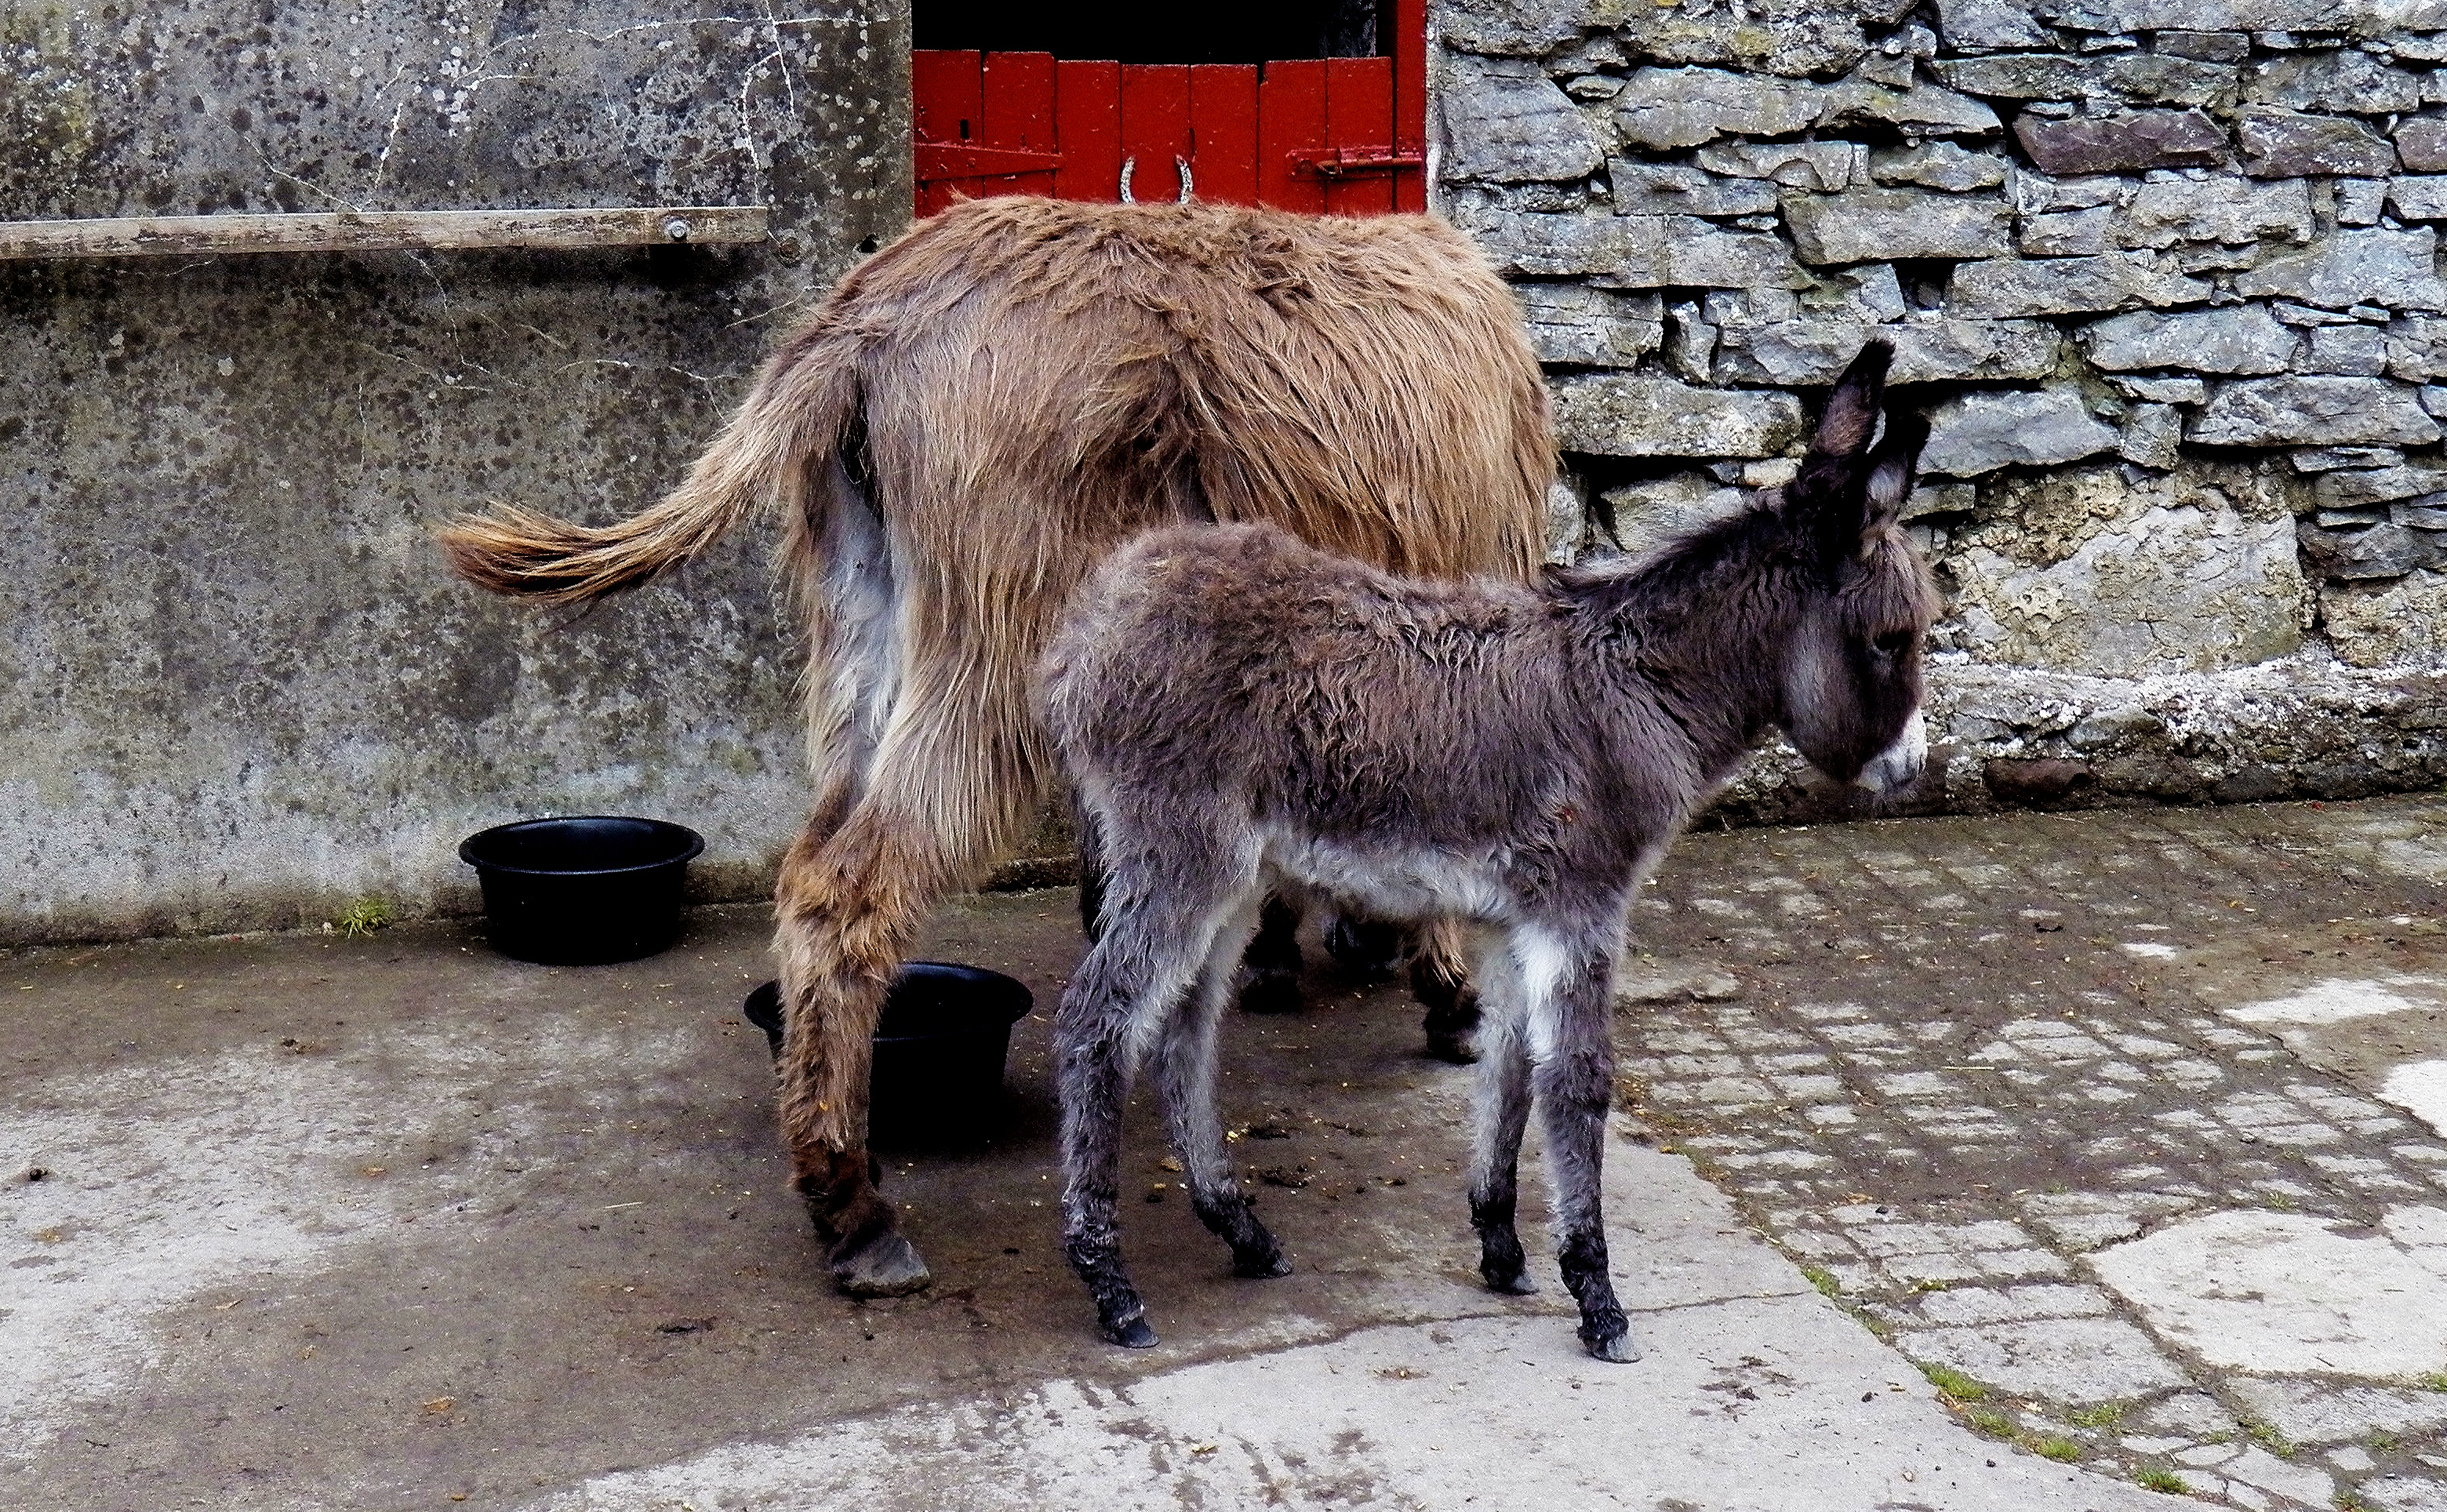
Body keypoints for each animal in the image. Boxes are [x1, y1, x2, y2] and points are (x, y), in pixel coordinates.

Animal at [1042, 347, 1938, 1360]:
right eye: (1890, 640)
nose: (1912, 769)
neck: (1637, 685)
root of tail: (1102, 610)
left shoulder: (1518, 921)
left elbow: (1512, 1070)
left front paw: (1502, 1245)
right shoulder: (1584, 908)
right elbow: (1577, 1080)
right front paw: (1598, 1295)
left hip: (1232, 880)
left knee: (1183, 1032)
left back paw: (1239, 1226)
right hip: (1181, 859)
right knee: (1096, 1024)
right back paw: (1110, 1284)